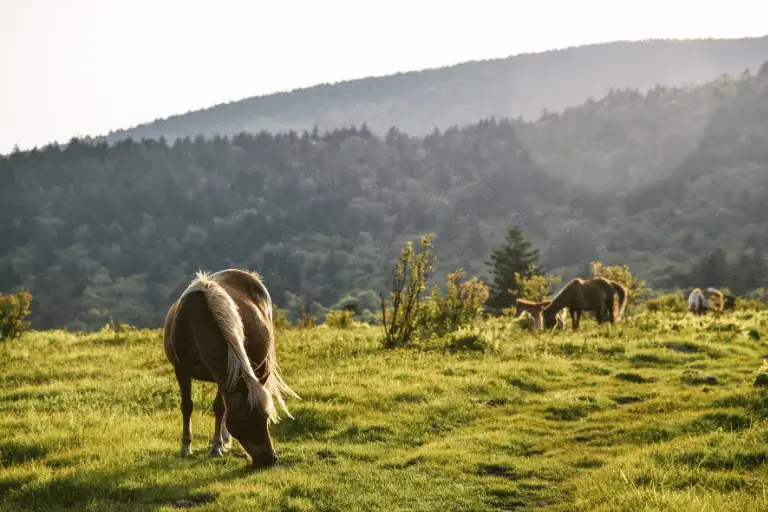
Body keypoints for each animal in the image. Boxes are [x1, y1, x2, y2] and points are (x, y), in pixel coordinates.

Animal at [164, 268, 298, 468]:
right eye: (247, 419)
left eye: (266, 418)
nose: (270, 458)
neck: (196, 322)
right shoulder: (181, 369)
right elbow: (187, 406)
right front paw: (186, 447)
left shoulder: (225, 375)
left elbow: (220, 408)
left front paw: (217, 447)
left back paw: (225, 441)